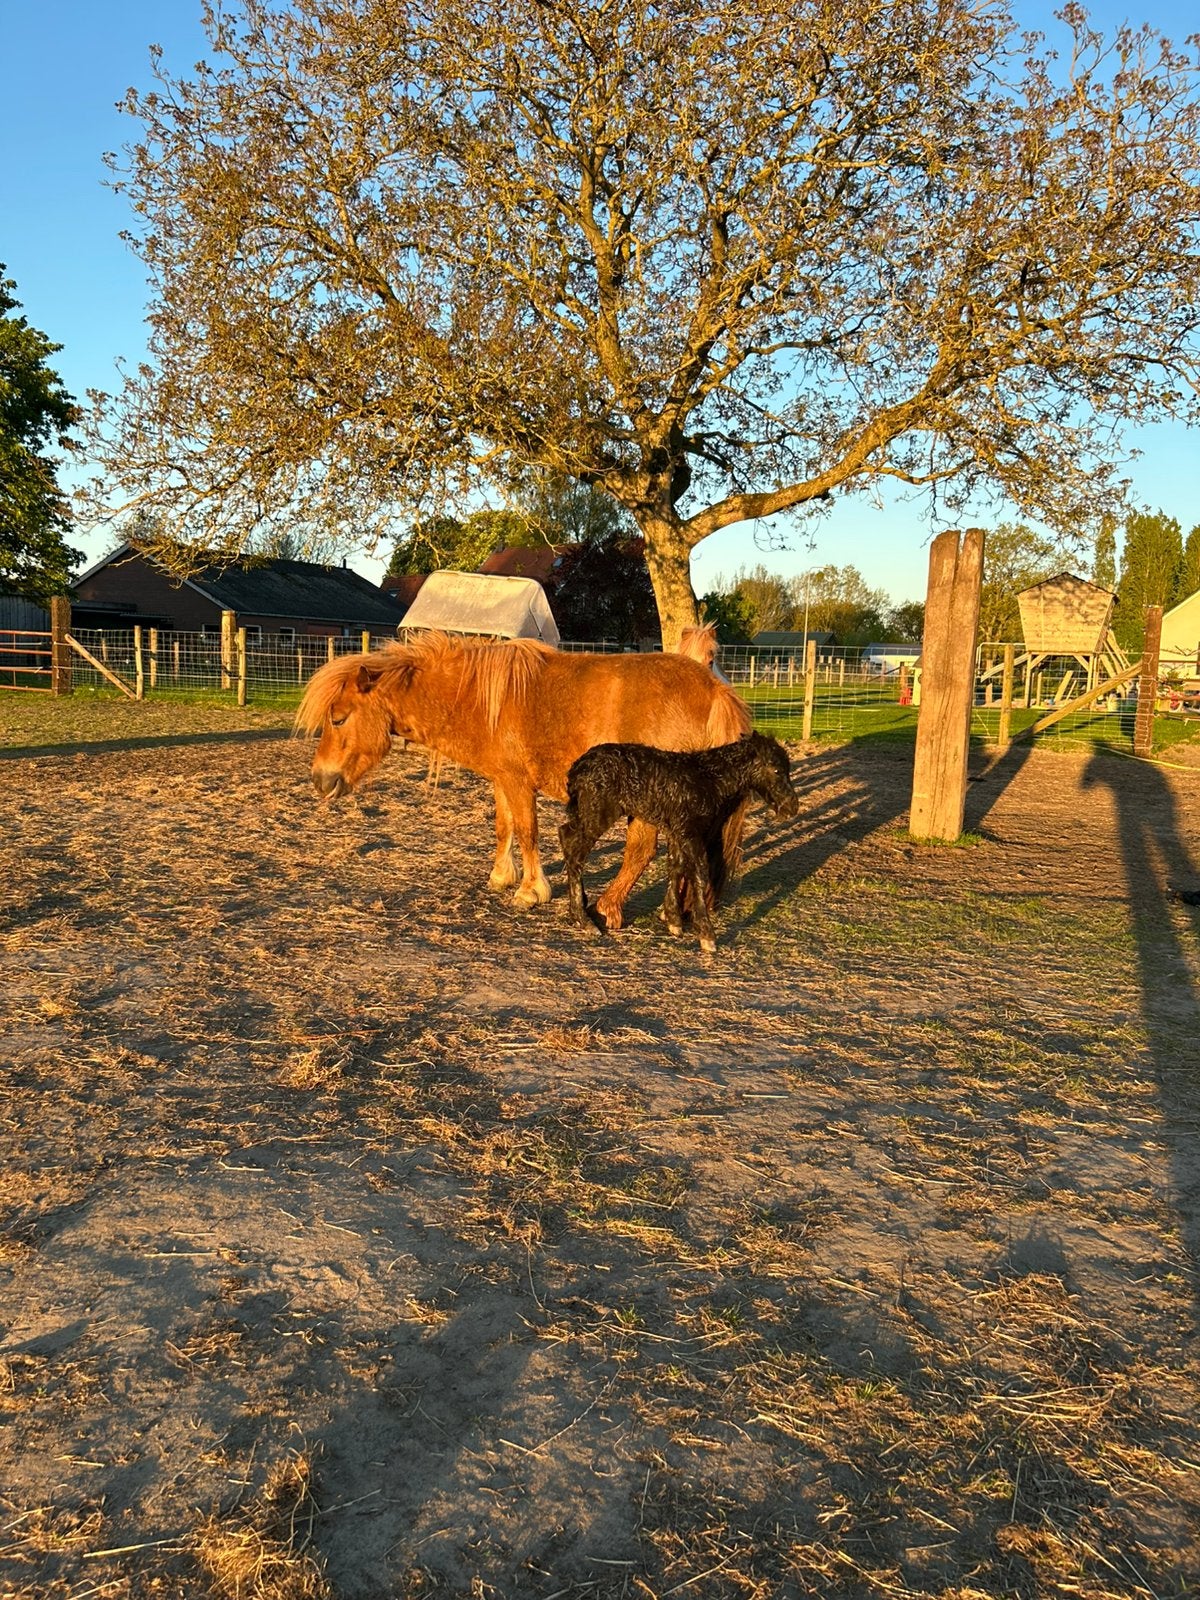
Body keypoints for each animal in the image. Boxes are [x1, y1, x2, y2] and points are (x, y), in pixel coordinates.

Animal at [296, 631, 752, 918]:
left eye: (338, 718)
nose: (320, 780)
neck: (481, 700)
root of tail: (715, 690)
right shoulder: (501, 779)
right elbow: (505, 828)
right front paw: (501, 876)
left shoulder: (518, 782)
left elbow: (529, 832)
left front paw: (531, 891)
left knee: (641, 849)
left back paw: (608, 908)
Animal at [559, 732, 799, 952]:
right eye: (776, 770)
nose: (792, 807)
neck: (709, 779)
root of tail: (577, 769)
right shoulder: (690, 830)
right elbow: (699, 873)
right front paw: (707, 935)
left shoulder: (677, 830)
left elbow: (676, 866)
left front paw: (673, 920)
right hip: (598, 812)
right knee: (574, 846)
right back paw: (584, 919)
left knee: (565, 835)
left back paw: (580, 909)